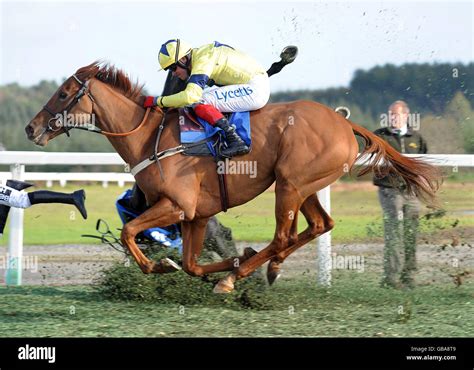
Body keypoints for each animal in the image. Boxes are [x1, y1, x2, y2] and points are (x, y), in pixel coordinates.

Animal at [25, 62, 440, 292]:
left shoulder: (177, 205)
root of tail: (344, 122)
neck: (150, 136)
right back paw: (266, 267)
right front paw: (233, 258)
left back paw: (237, 277)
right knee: (319, 225)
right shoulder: (197, 214)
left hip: (289, 185)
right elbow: (191, 264)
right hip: (304, 185)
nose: (31, 128)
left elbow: (129, 232)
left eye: (64, 93)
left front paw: (159, 265)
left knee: (284, 235)